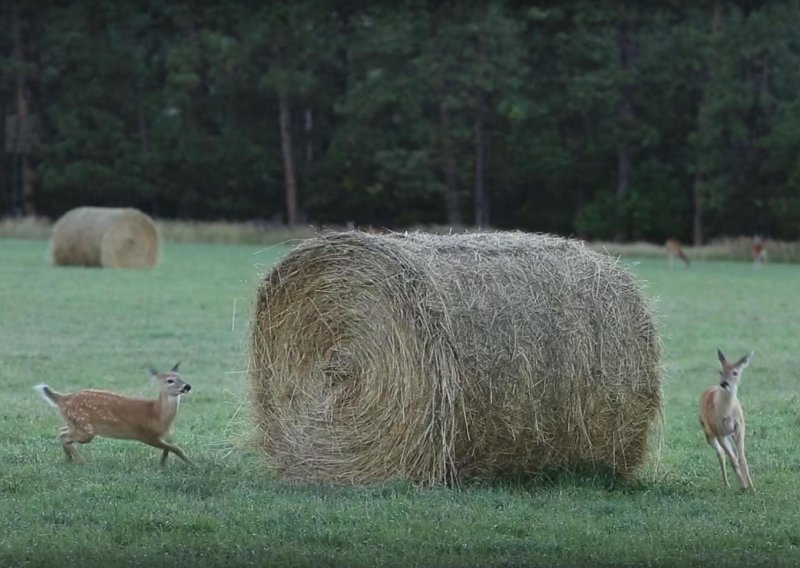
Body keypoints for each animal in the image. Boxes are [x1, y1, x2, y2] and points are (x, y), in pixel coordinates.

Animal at [33, 364, 193, 466]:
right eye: (170, 380)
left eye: (181, 377)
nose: (187, 386)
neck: (157, 414)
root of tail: (64, 398)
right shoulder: (145, 435)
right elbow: (176, 448)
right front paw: (192, 464)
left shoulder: (164, 435)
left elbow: (169, 448)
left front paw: (163, 464)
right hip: (86, 429)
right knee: (65, 436)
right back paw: (82, 462)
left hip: (76, 423)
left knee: (62, 432)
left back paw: (69, 459)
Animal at [700, 348, 756, 490]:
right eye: (721, 371)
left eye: (735, 372)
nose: (724, 383)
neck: (727, 412)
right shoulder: (718, 430)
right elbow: (732, 459)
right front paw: (743, 486)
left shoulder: (740, 426)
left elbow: (742, 458)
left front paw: (752, 488)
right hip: (708, 432)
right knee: (721, 454)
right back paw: (727, 484)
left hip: (730, 434)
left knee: (731, 453)